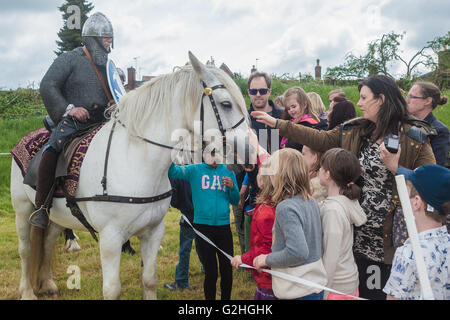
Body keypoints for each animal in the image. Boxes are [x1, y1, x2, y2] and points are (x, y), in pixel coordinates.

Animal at [10, 52, 250, 300]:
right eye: (226, 104)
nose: (249, 152)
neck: (135, 160)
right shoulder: (110, 238)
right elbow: (112, 290)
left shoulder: (153, 232)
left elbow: (149, 280)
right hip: (23, 209)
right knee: (26, 250)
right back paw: (27, 291)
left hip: (58, 216)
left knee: (47, 242)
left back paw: (47, 283)